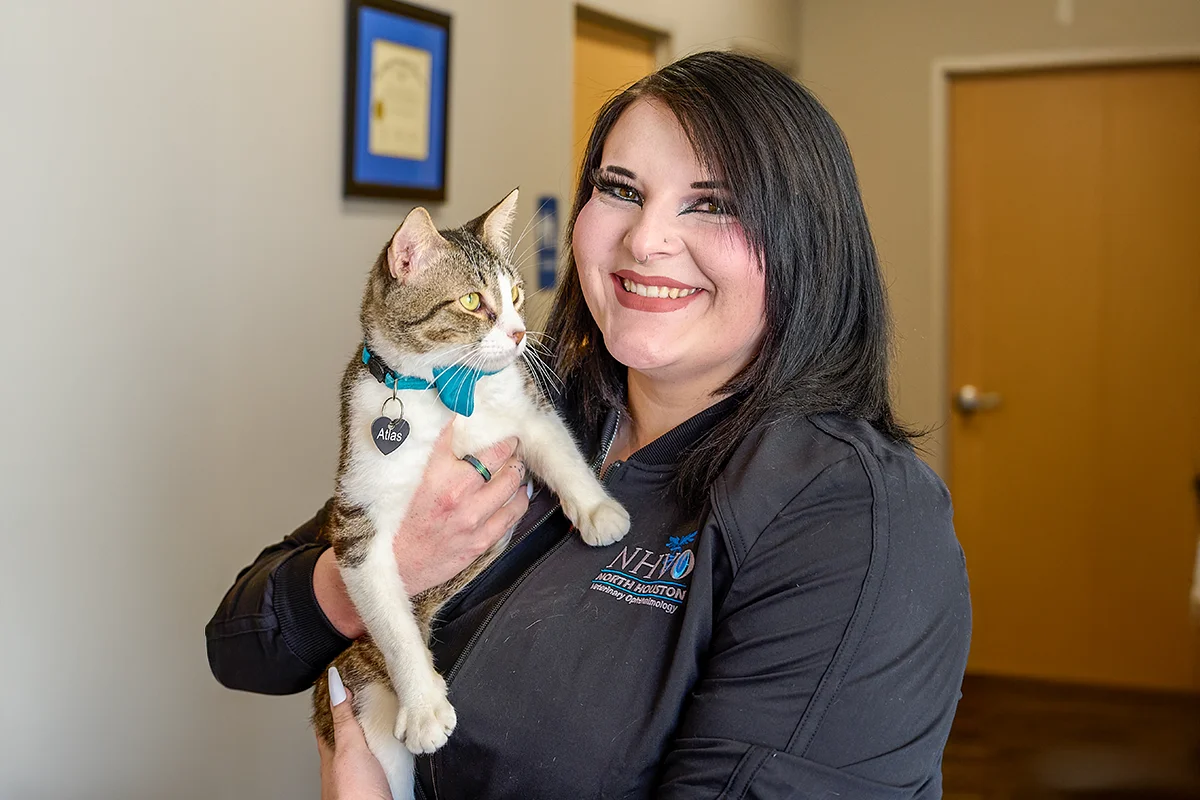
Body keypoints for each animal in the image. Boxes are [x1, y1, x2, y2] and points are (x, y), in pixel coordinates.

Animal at [309, 189, 628, 800]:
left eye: (517, 294)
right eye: (473, 301)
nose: (520, 333)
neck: (447, 391)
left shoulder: (525, 408)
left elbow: (560, 450)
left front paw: (598, 508)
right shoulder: (358, 511)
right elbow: (388, 614)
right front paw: (424, 705)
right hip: (363, 695)